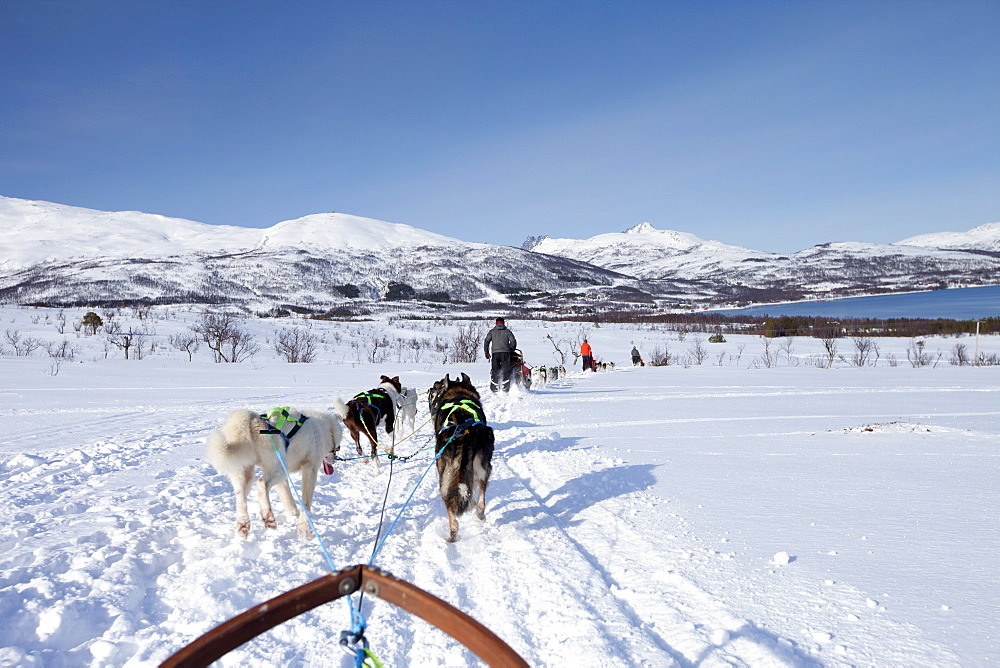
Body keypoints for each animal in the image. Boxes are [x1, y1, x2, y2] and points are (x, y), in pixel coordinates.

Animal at [203, 408, 344, 536]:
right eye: (337, 447)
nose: (334, 459)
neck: (322, 427)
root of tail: (252, 420)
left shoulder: (283, 479)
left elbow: (288, 498)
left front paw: (293, 514)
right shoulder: (310, 469)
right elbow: (305, 502)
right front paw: (304, 525)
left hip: (246, 472)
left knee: (240, 495)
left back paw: (243, 524)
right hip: (279, 468)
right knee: (261, 483)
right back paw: (268, 517)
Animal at [428, 374, 494, 540]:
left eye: (439, 386)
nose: (432, 386)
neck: (458, 393)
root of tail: (464, 432)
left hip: (444, 474)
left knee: (450, 504)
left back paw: (454, 532)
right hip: (484, 467)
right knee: (481, 497)